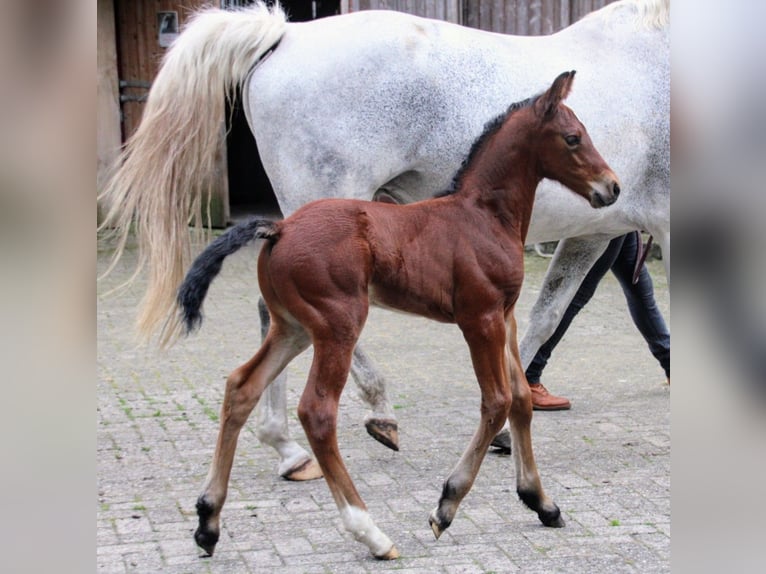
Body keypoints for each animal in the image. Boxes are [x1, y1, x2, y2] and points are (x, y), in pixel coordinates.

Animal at [180, 72, 624, 564]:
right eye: (573, 138)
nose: (612, 187)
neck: (483, 216)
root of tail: (279, 228)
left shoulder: (505, 318)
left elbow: (522, 401)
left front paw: (541, 502)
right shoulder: (480, 319)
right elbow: (496, 403)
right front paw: (446, 506)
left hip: (293, 328)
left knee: (242, 386)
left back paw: (208, 521)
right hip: (338, 325)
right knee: (317, 411)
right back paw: (371, 533)